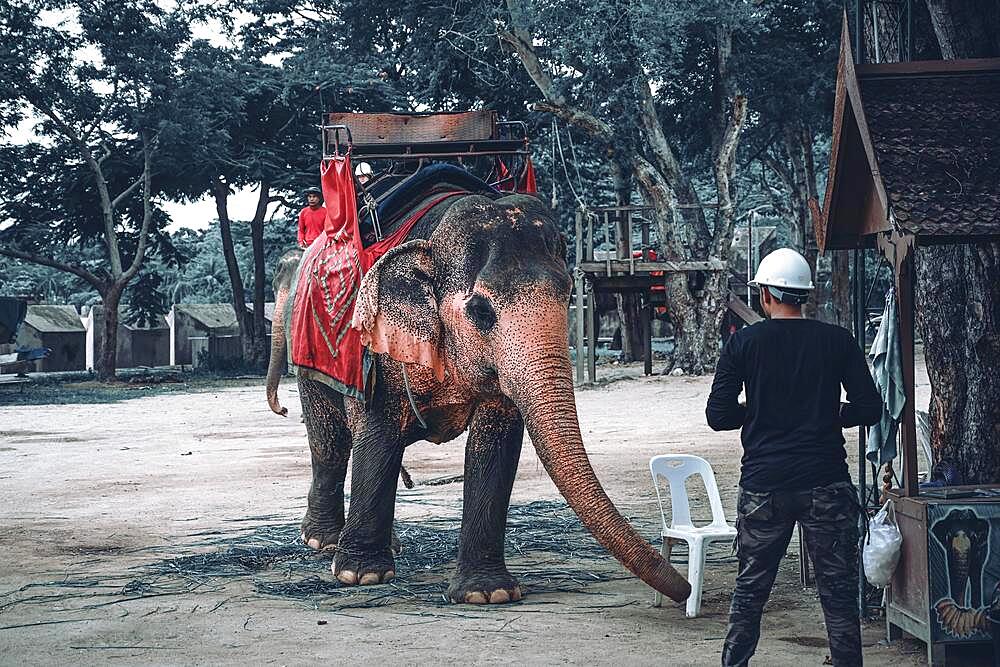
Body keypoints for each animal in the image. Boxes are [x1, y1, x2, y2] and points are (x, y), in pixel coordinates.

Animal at [264, 192, 696, 604]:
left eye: (569, 293)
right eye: (481, 310)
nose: (687, 588)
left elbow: (494, 443)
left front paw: (487, 593)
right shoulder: (374, 344)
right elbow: (378, 432)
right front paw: (361, 575)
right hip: (310, 361)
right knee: (331, 442)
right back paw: (324, 541)